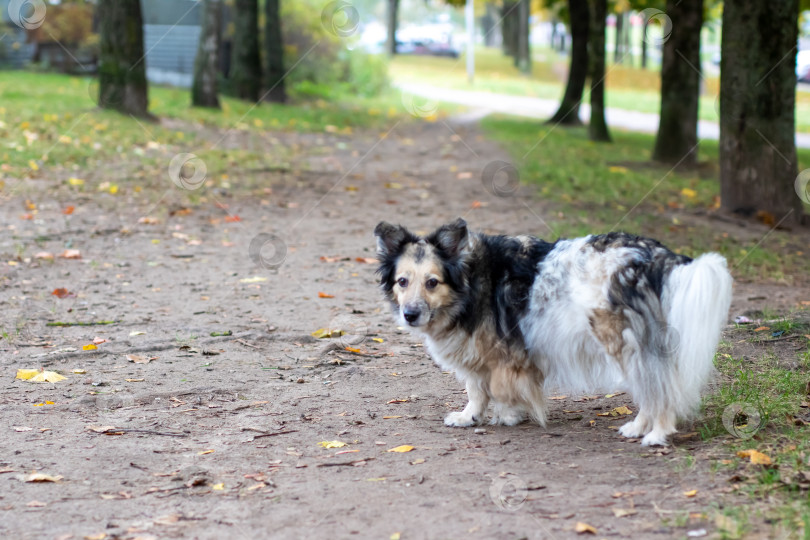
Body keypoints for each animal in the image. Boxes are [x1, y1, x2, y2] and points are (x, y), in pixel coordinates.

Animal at [374, 217, 732, 446]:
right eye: (402, 281)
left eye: (432, 282)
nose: (410, 314)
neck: (471, 282)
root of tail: (658, 255)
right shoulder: (480, 355)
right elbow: (477, 390)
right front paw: (470, 417)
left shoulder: (505, 353)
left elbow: (500, 386)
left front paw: (508, 414)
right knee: (650, 387)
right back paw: (638, 428)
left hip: (620, 339)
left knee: (659, 389)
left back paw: (657, 434)